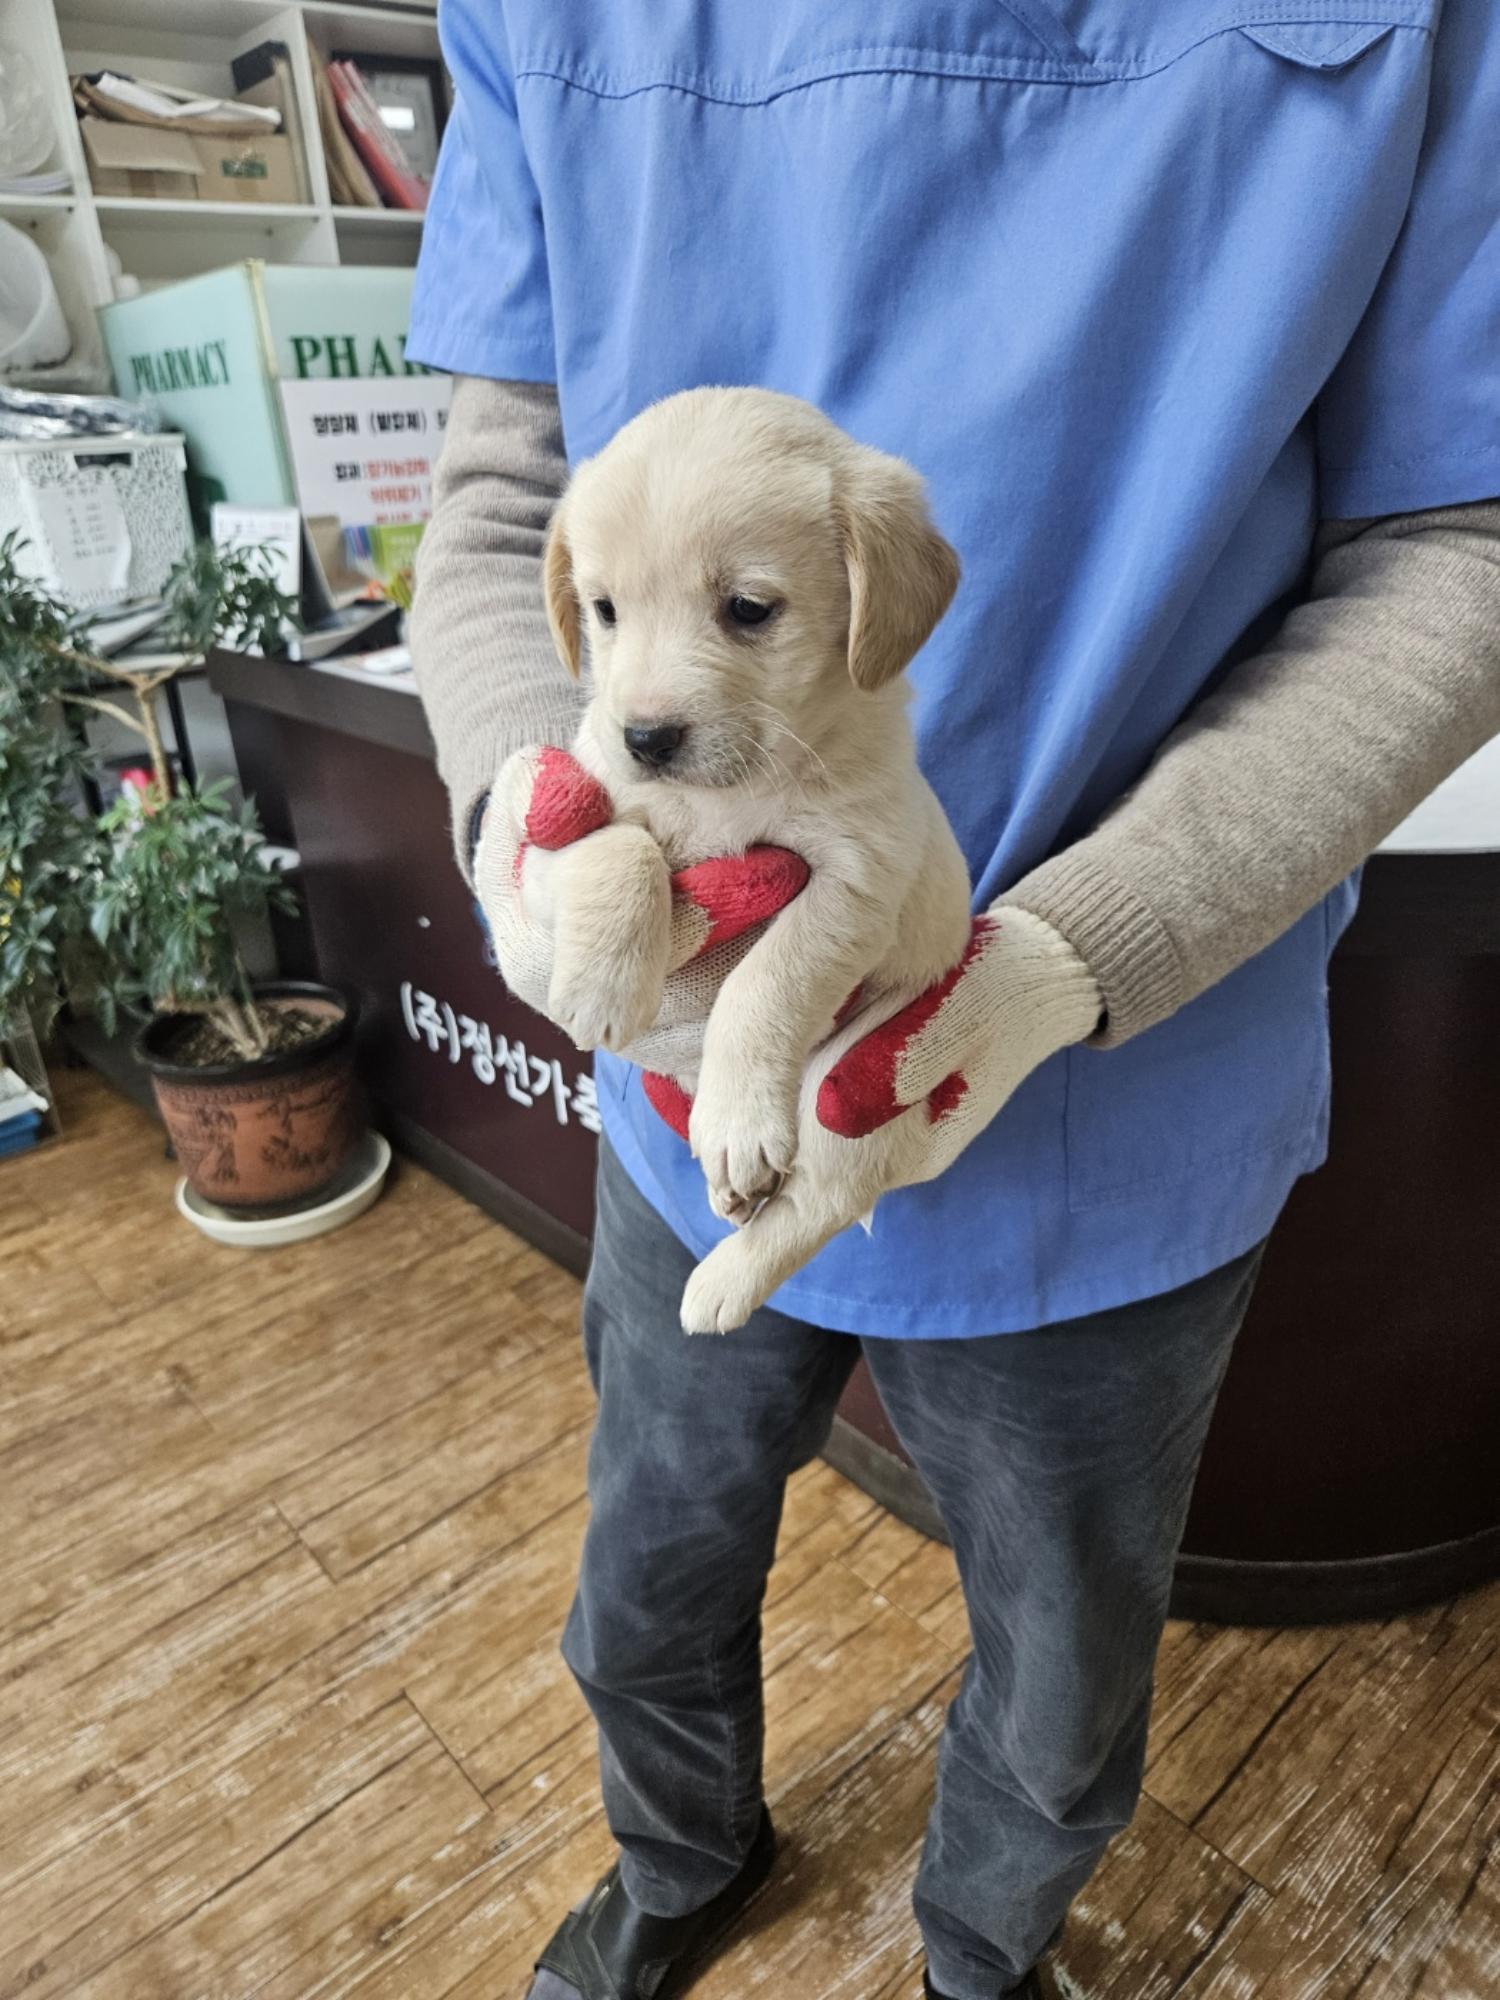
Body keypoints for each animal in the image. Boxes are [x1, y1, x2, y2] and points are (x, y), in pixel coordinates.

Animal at [540, 392, 976, 1328]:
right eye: (604, 610)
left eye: (747, 608)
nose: (647, 738)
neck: (734, 790)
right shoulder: (590, 787)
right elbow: (621, 844)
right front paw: (601, 983)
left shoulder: (858, 878)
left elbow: (764, 982)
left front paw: (737, 1120)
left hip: (856, 1083)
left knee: (818, 1202)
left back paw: (719, 1283)